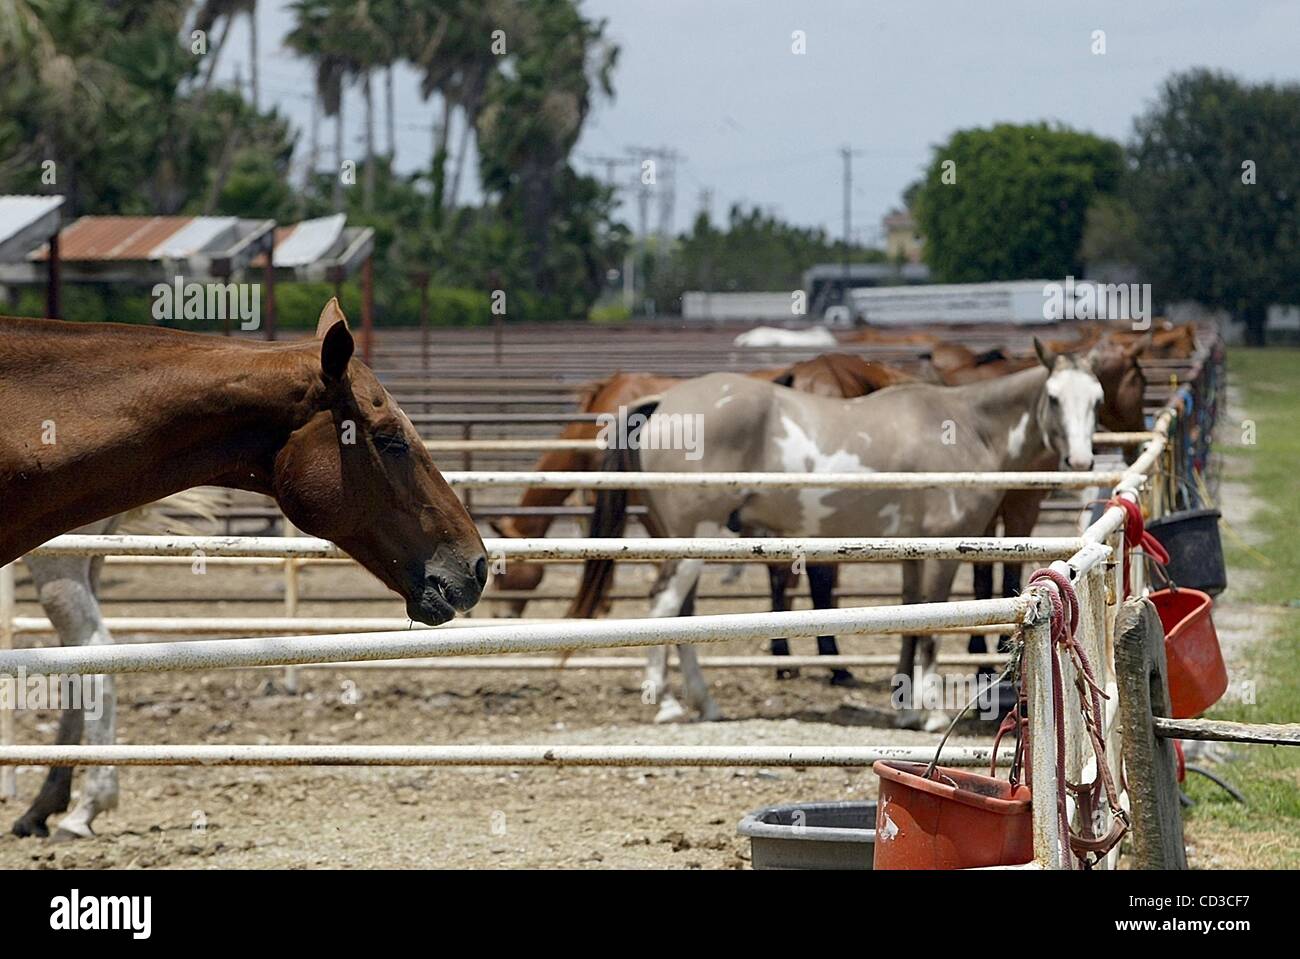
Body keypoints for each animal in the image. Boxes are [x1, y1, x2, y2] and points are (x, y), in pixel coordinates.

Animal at [574, 340, 1102, 722]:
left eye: (1095, 398)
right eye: (1055, 398)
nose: (1080, 461)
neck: (967, 427)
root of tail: (665, 401)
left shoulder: (913, 553)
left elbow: (911, 621)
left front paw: (905, 708)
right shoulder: (943, 551)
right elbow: (931, 629)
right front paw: (930, 712)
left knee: (680, 613)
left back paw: (705, 704)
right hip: (696, 540)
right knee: (664, 605)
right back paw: (664, 703)